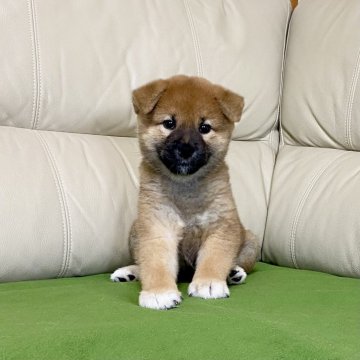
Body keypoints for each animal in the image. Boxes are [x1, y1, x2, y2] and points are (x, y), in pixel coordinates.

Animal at [109, 74, 258, 310]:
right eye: (169, 124)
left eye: (204, 127)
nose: (186, 149)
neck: (185, 187)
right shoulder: (158, 226)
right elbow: (155, 263)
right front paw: (159, 292)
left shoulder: (220, 226)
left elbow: (214, 259)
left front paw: (208, 283)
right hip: (135, 231)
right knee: (142, 263)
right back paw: (129, 272)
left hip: (251, 242)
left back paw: (234, 272)